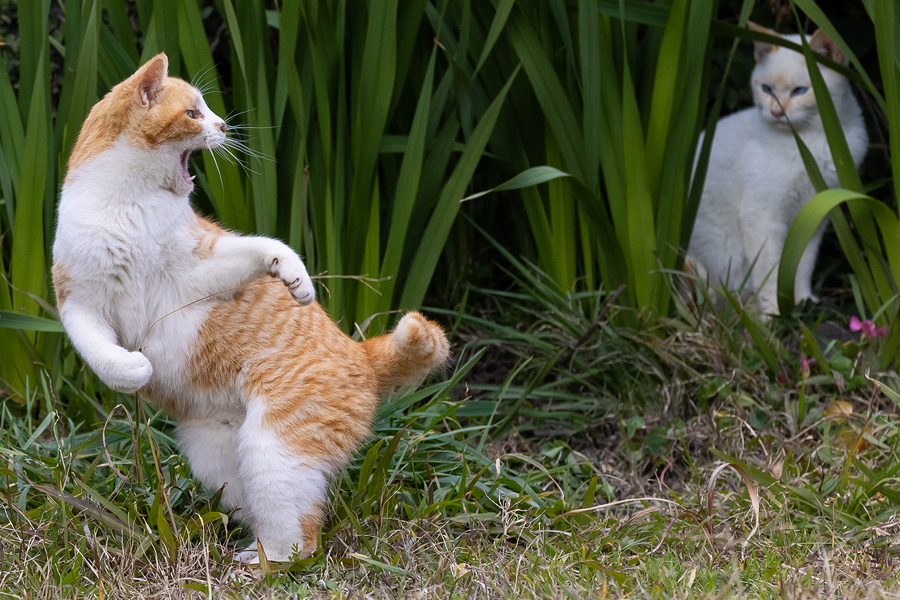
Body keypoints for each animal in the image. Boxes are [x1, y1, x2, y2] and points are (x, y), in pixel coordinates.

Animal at [51, 55, 448, 564]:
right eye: (193, 114)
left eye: (206, 111)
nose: (224, 125)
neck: (130, 205)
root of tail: (361, 352)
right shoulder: (80, 304)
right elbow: (102, 355)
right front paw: (133, 369)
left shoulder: (196, 269)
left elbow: (264, 247)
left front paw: (294, 275)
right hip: (219, 458)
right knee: (268, 515)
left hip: (274, 447)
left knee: (301, 539)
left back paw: (261, 565)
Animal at [684, 23, 868, 314]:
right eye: (767, 89)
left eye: (800, 91)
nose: (776, 112)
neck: (810, 140)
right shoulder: (762, 216)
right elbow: (771, 271)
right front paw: (776, 311)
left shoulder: (814, 214)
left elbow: (802, 265)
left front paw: (802, 301)